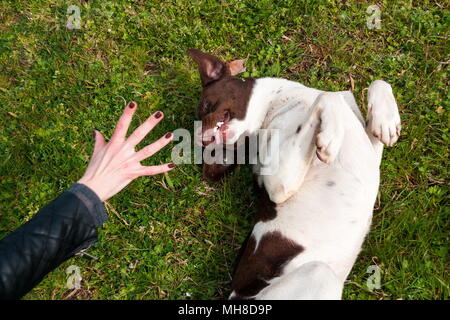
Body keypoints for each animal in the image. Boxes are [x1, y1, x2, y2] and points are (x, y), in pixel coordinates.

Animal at [187, 48, 400, 298]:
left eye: (205, 106)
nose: (202, 141)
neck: (279, 104)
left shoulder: (370, 156)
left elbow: (378, 82)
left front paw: (386, 122)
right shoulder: (280, 184)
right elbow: (328, 96)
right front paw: (330, 137)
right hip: (319, 274)